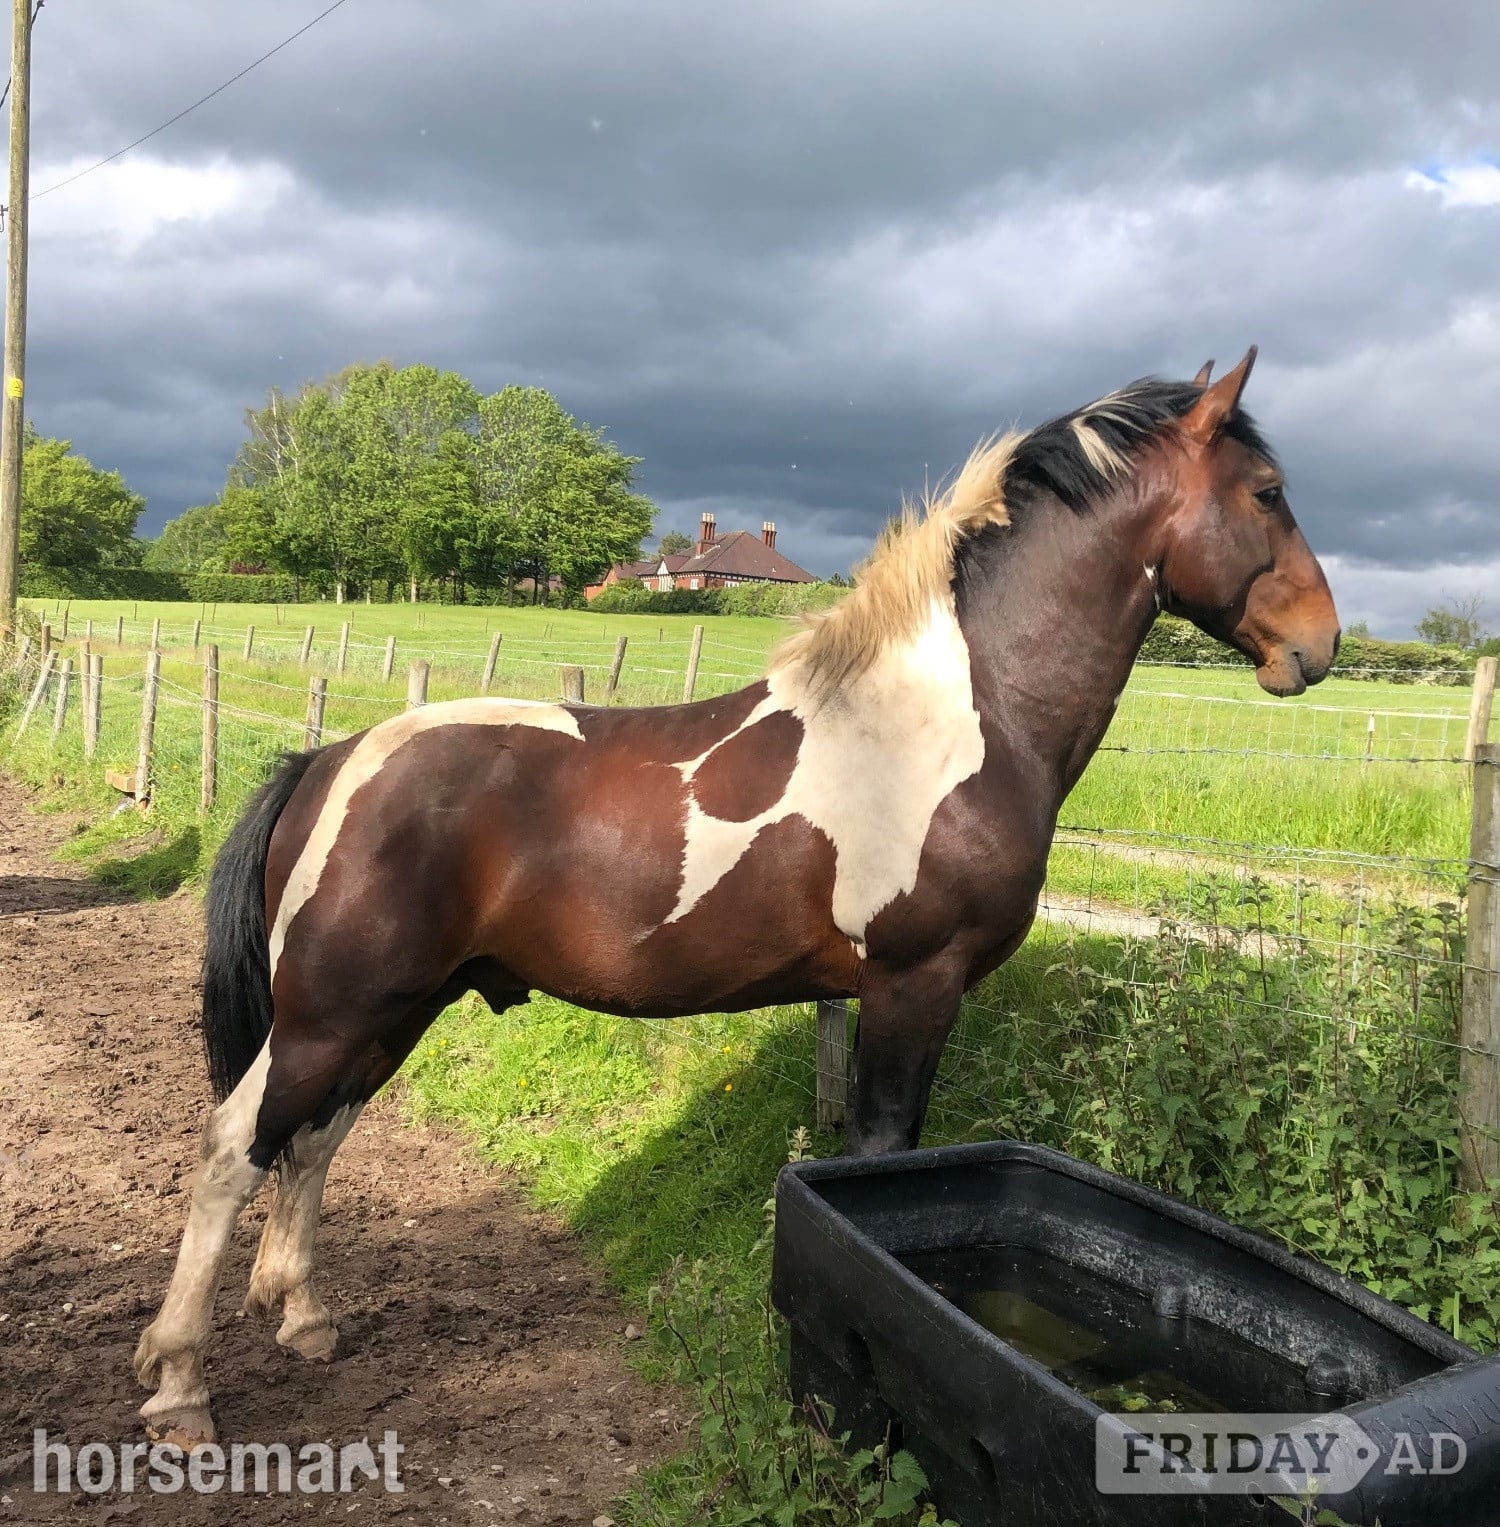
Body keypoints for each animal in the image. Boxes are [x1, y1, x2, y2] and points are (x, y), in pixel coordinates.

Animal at [134, 347, 1339, 1445]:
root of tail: (329, 760)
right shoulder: (916, 984)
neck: (955, 721)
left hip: (389, 1012)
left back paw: (303, 1319)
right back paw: (181, 1384)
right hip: (332, 1014)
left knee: (313, 1144)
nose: (1318, 643)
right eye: (1267, 492)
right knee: (233, 1148)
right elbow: (881, 1156)